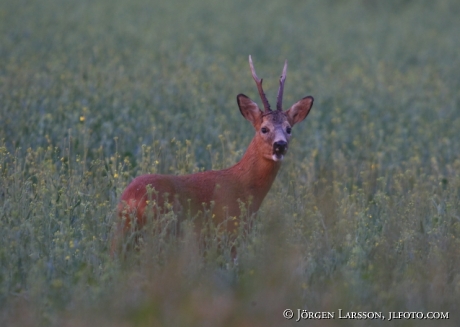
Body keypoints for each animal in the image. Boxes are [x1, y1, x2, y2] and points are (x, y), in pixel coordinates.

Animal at [111, 55, 312, 256]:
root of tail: (129, 199)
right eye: (264, 128)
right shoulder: (230, 236)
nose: (280, 145)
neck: (245, 187)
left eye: (289, 129)